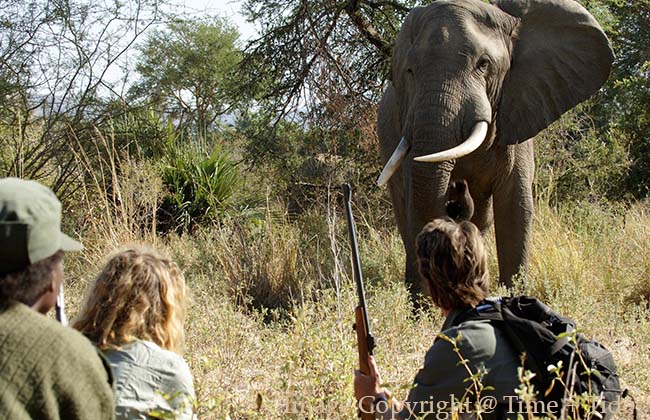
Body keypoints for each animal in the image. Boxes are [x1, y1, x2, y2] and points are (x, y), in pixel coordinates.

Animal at [374, 0, 612, 298]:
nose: (458, 189)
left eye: (483, 64)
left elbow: (515, 206)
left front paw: (514, 296)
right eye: (409, 71)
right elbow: (419, 202)